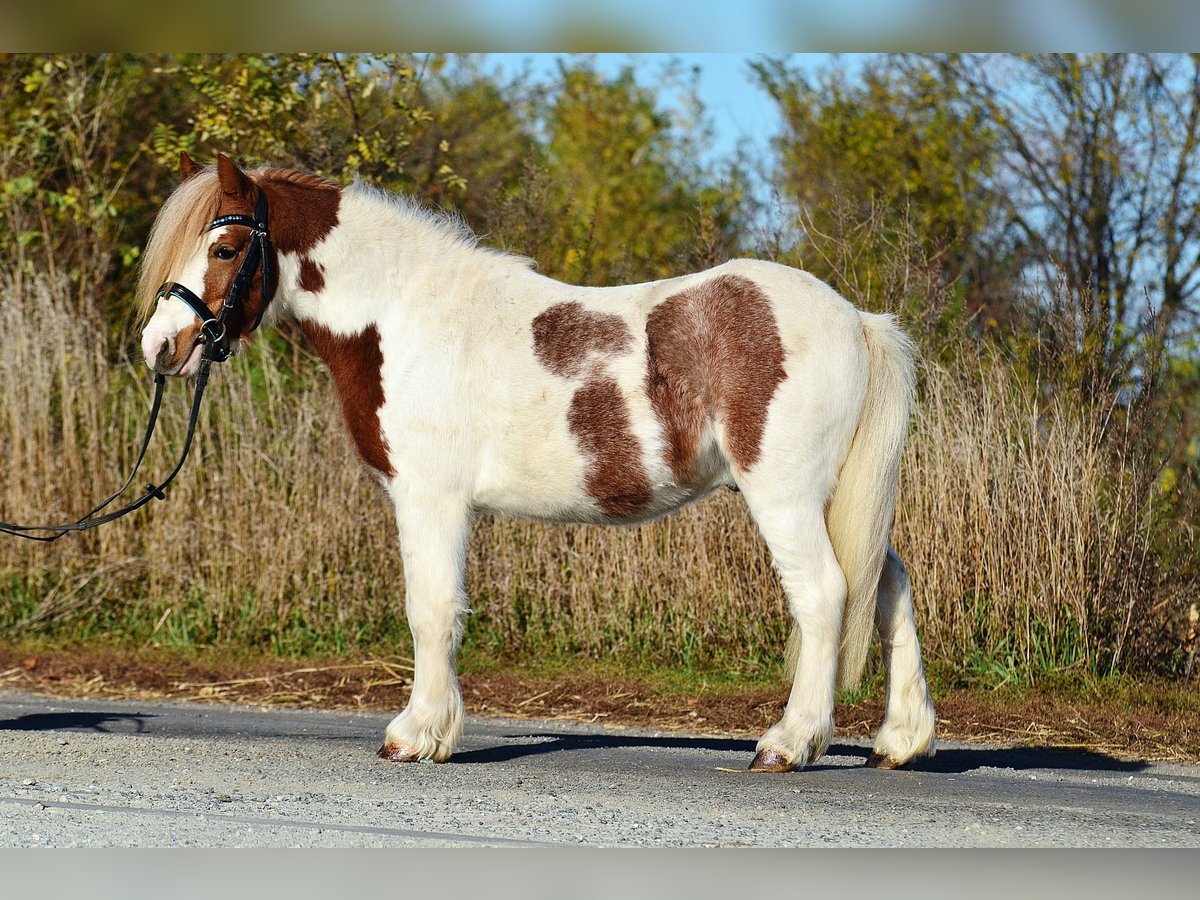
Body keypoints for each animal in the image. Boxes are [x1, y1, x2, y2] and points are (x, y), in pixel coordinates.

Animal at [133, 154, 936, 777]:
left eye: (226, 249)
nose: (160, 349)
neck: (402, 315)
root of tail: (857, 321)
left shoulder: (430, 498)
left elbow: (431, 610)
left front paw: (417, 735)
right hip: (837, 497)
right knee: (888, 583)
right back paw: (900, 741)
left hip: (785, 494)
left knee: (825, 592)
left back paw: (788, 744)